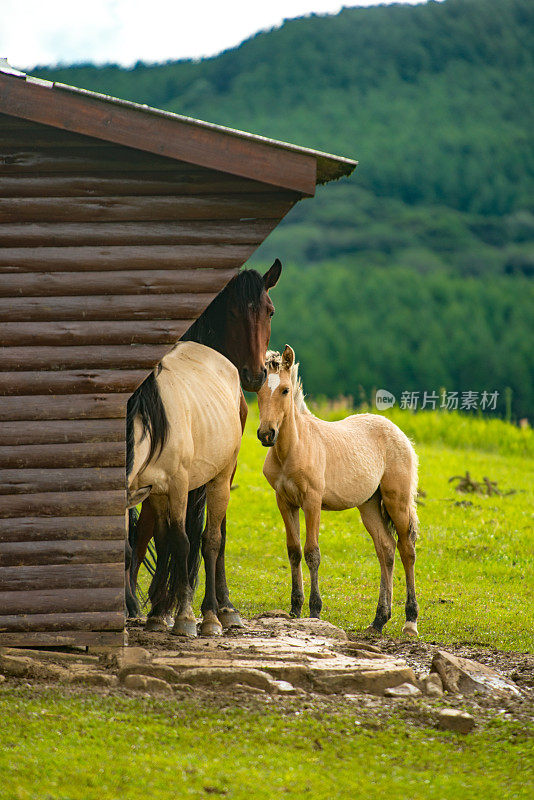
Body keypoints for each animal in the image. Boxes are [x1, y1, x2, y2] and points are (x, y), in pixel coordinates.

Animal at [127, 262, 282, 632]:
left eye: (269, 311)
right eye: (234, 311)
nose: (255, 376)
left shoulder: (215, 473)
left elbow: (206, 534)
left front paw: (218, 607)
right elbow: (176, 536)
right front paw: (168, 607)